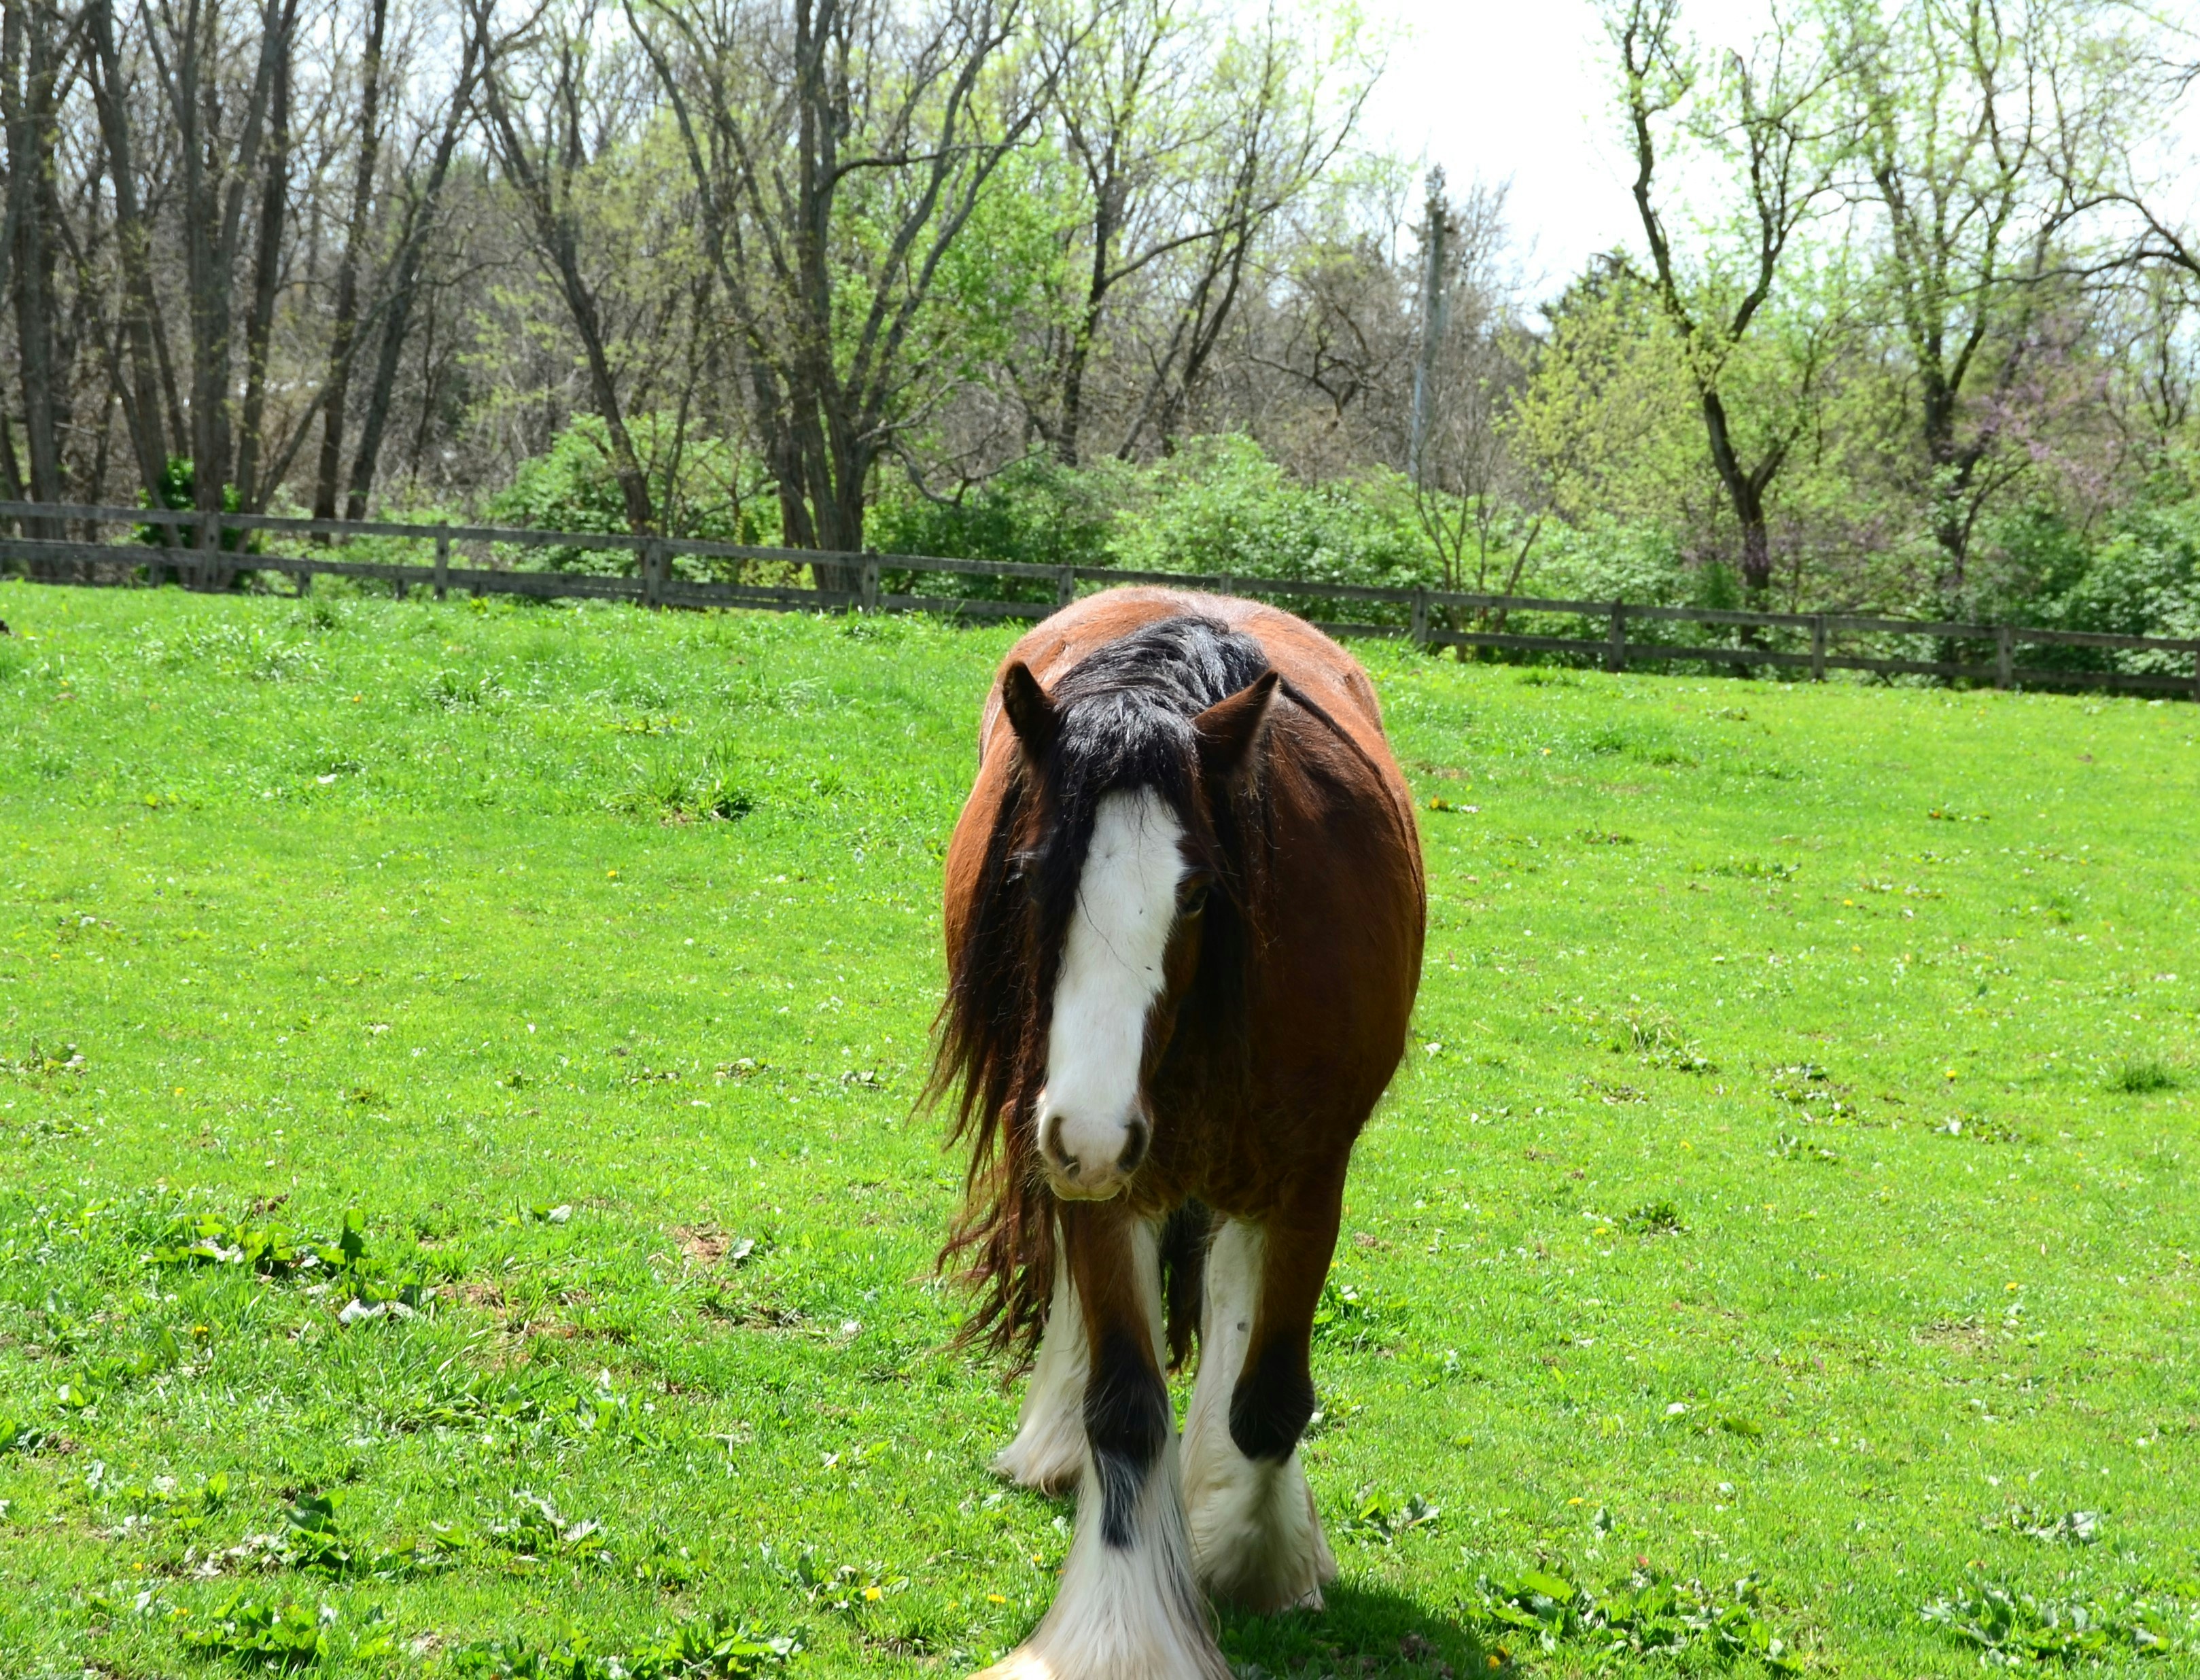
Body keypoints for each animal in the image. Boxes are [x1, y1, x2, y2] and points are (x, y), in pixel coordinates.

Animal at [932, 587, 1426, 1679]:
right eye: (1027, 875)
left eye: (1196, 892)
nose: (1090, 1130)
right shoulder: (1095, 1173)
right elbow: (1124, 1408)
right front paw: (1119, 1636)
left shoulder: (1309, 1179)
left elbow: (1268, 1395)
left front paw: (1248, 1561)